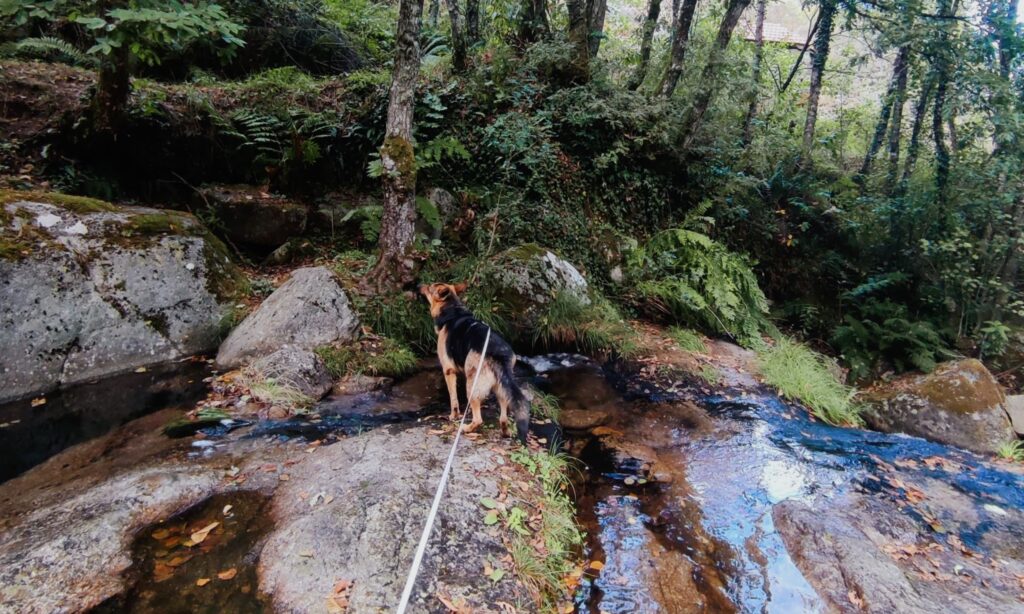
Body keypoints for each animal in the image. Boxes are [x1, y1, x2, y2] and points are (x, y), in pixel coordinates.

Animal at [417, 282, 528, 442]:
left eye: (429, 287)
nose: (418, 285)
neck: (453, 310)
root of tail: (499, 355)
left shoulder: (448, 371)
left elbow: (453, 399)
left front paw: (453, 416)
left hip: (471, 387)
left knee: (478, 419)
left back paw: (466, 428)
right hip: (500, 389)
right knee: (503, 418)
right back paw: (505, 432)